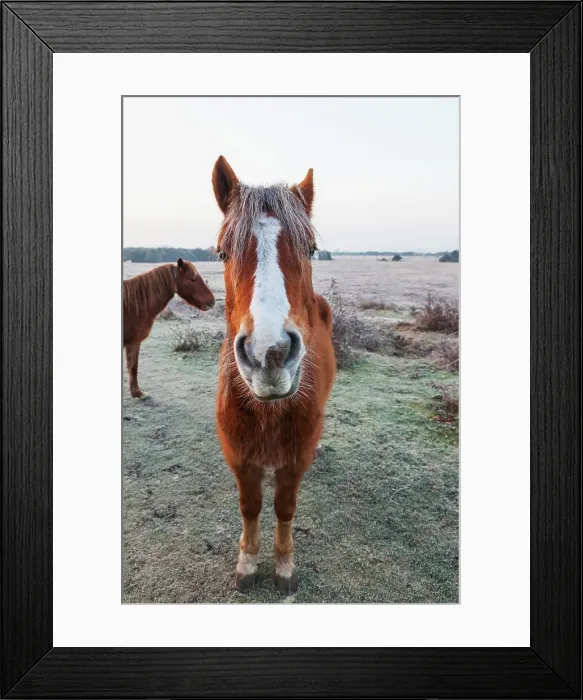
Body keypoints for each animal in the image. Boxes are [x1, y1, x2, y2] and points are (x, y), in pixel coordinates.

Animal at [123, 259, 215, 398]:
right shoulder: (134, 342)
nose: (212, 302)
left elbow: (133, 367)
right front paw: (138, 393)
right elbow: (133, 367)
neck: (132, 307)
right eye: (193, 279)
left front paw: (137, 393)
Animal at [212, 156, 336, 595]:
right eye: (222, 252)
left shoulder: (294, 461)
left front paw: (284, 565)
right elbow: (250, 507)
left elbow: (284, 507)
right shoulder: (239, 457)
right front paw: (248, 563)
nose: (269, 354)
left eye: (311, 249)